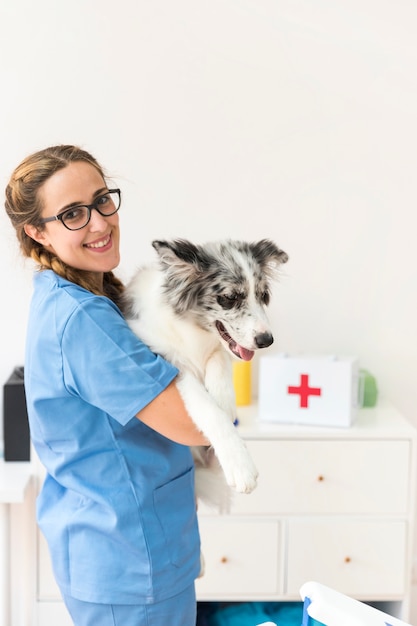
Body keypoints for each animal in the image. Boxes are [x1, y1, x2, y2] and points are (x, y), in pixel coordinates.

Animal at [125, 236, 288, 510]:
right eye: (230, 297)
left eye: (263, 295)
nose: (267, 340)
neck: (193, 334)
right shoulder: (167, 360)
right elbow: (207, 408)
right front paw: (240, 466)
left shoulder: (218, 352)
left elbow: (219, 362)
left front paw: (225, 402)